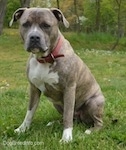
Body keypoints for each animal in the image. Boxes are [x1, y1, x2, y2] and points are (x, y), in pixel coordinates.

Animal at [9, 7, 104, 143]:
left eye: (46, 25)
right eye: (25, 24)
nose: (34, 37)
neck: (45, 58)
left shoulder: (69, 89)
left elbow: (68, 115)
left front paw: (66, 137)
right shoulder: (34, 88)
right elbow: (30, 111)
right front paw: (22, 129)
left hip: (93, 102)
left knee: (97, 122)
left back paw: (89, 131)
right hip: (57, 104)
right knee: (70, 117)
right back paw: (54, 123)